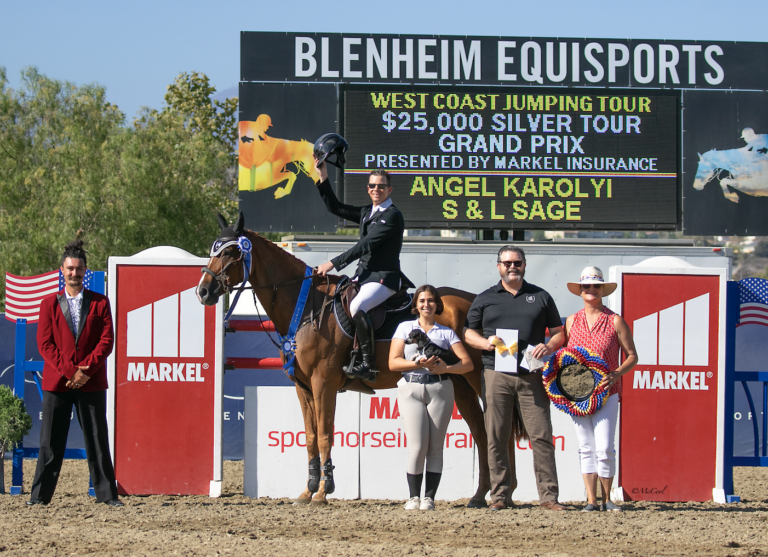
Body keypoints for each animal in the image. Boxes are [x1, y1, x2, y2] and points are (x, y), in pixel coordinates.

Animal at [196, 212, 528, 504]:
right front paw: (307, 490)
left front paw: (323, 491)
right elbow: (310, 436)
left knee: (495, 430)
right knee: (481, 432)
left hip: (476, 378)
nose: (203, 292)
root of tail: (475, 301)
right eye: (213, 250)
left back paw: (506, 493)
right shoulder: (302, 386)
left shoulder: (323, 383)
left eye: (231, 252)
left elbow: (325, 435)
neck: (307, 307)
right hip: (459, 383)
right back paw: (481, 496)